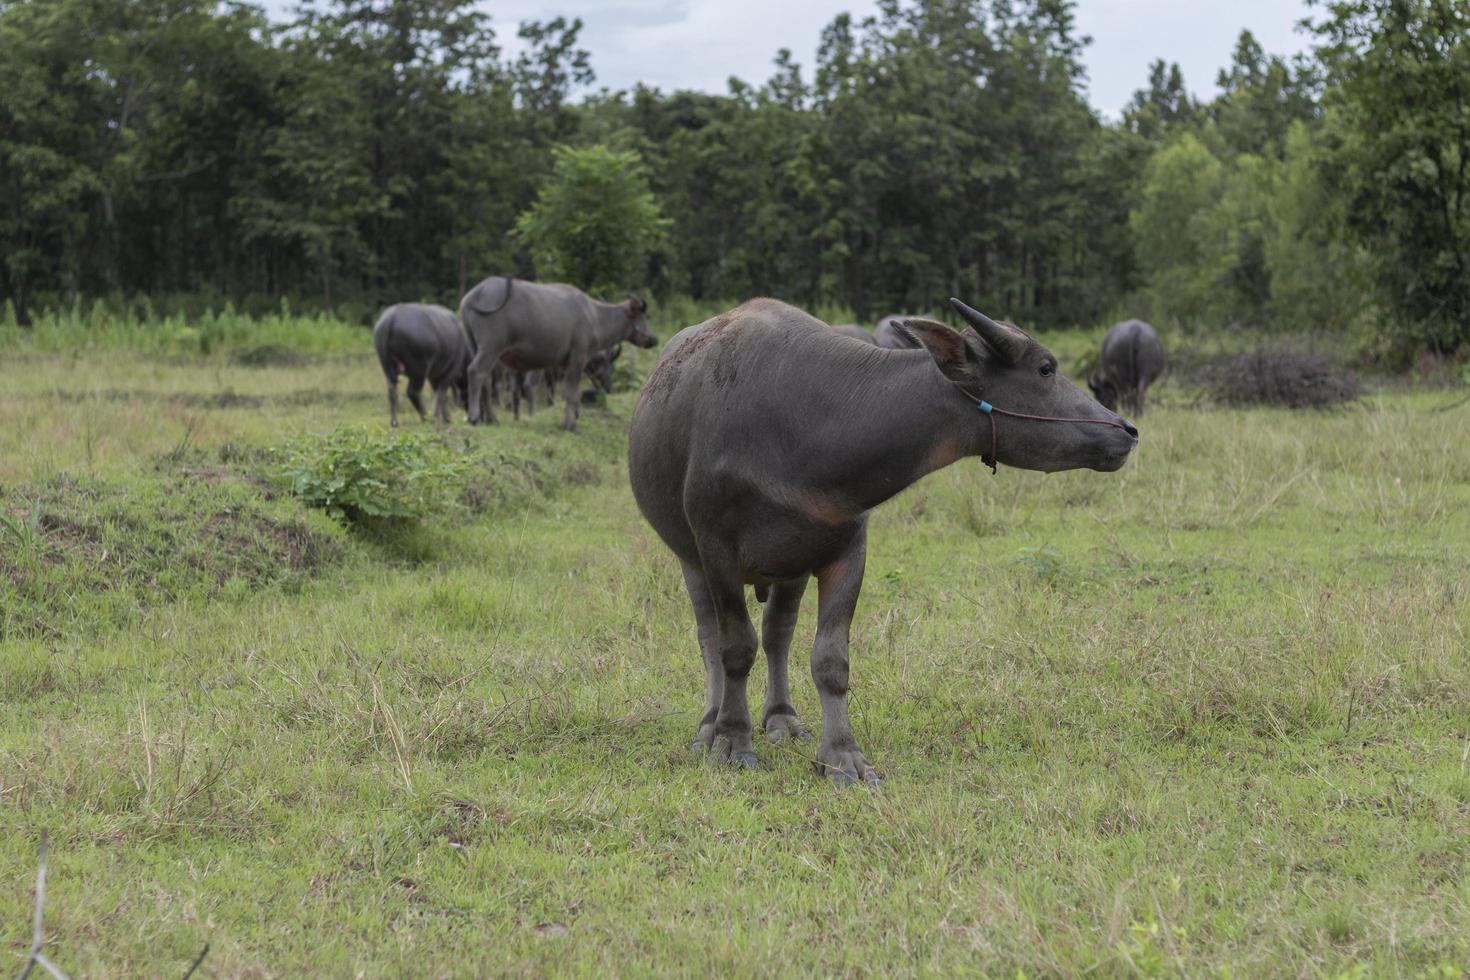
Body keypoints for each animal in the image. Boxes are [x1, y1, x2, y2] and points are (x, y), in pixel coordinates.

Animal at [455, 276, 658, 429]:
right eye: (644, 316)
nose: (653, 339)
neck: (594, 315)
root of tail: (473, 297)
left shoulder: (565, 364)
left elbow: (573, 392)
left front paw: (576, 415)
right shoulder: (578, 357)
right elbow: (570, 392)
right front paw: (570, 425)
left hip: (476, 346)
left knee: (487, 380)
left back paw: (489, 418)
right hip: (491, 346)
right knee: (476, 371)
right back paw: (474, 417)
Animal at [629, 295, 1134, 787]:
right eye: (1046, 368)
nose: (1126, 431)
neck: (805, 424)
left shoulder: (847, 552)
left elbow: (831, 661)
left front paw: (842, 757)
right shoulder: (717, 551)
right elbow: (734, 648)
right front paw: (733, 742)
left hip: (791, 562)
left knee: (778, 635)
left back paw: (783, 720)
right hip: (690, 558)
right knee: (709, 637)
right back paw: (708, 727)